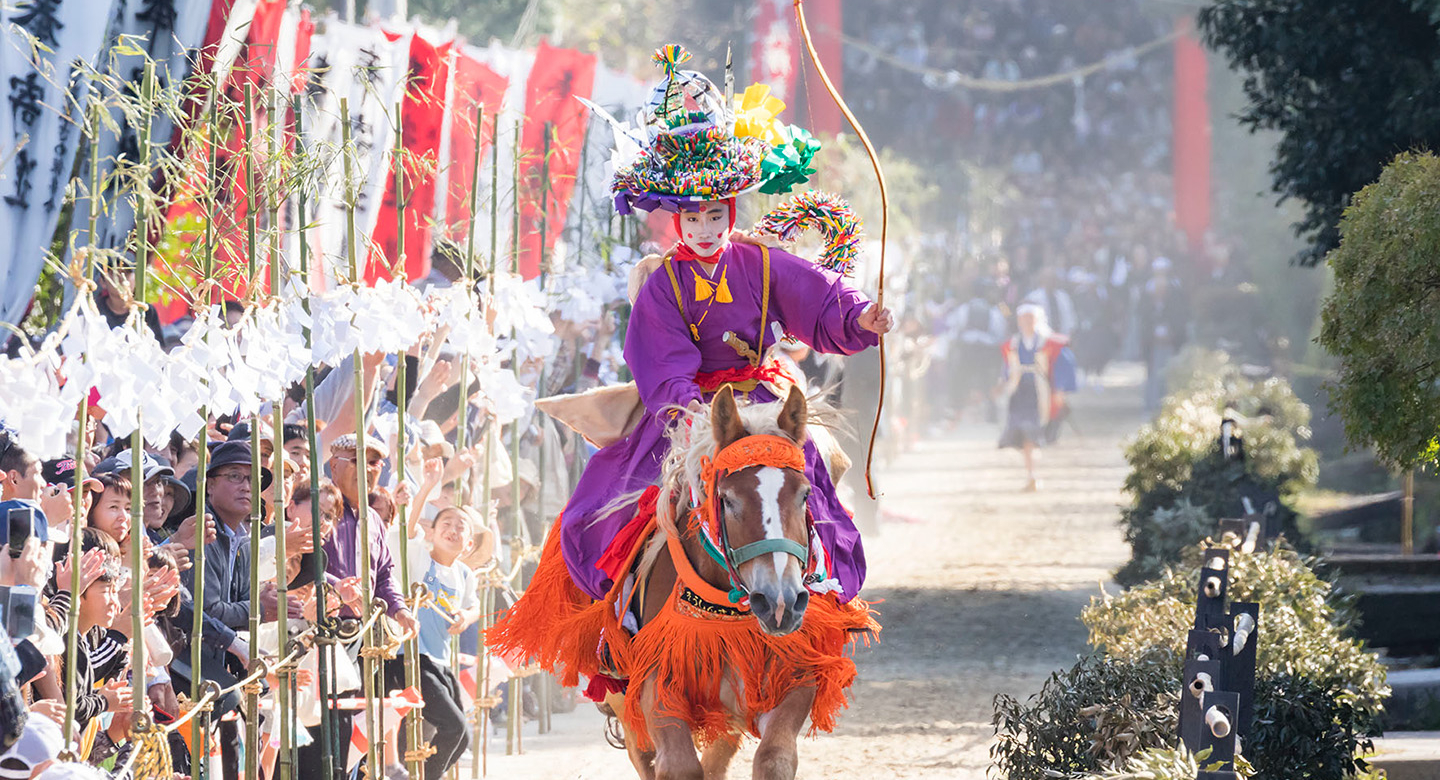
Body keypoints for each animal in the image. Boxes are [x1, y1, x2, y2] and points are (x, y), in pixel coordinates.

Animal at [492, 385, 875, 780]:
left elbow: (775, 757)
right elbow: (678, 765)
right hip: (624, 700)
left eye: (804, 494)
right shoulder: (657, 691)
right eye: (727, 499)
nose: (779, 601)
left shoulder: (792, 680)